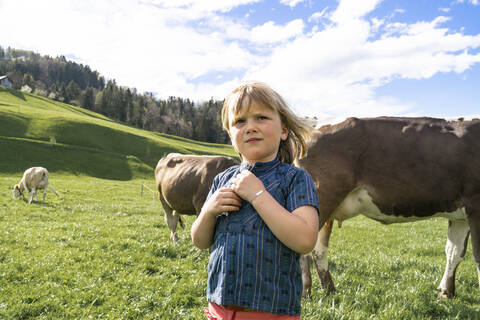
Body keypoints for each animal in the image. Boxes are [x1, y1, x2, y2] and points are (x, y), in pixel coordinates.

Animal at [300, 117, 480, 298]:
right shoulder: (475, 207)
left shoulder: (459, 217)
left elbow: (454, 252)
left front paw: (446, 292)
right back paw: (305, 292)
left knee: (318, 249)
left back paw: (329, 290)